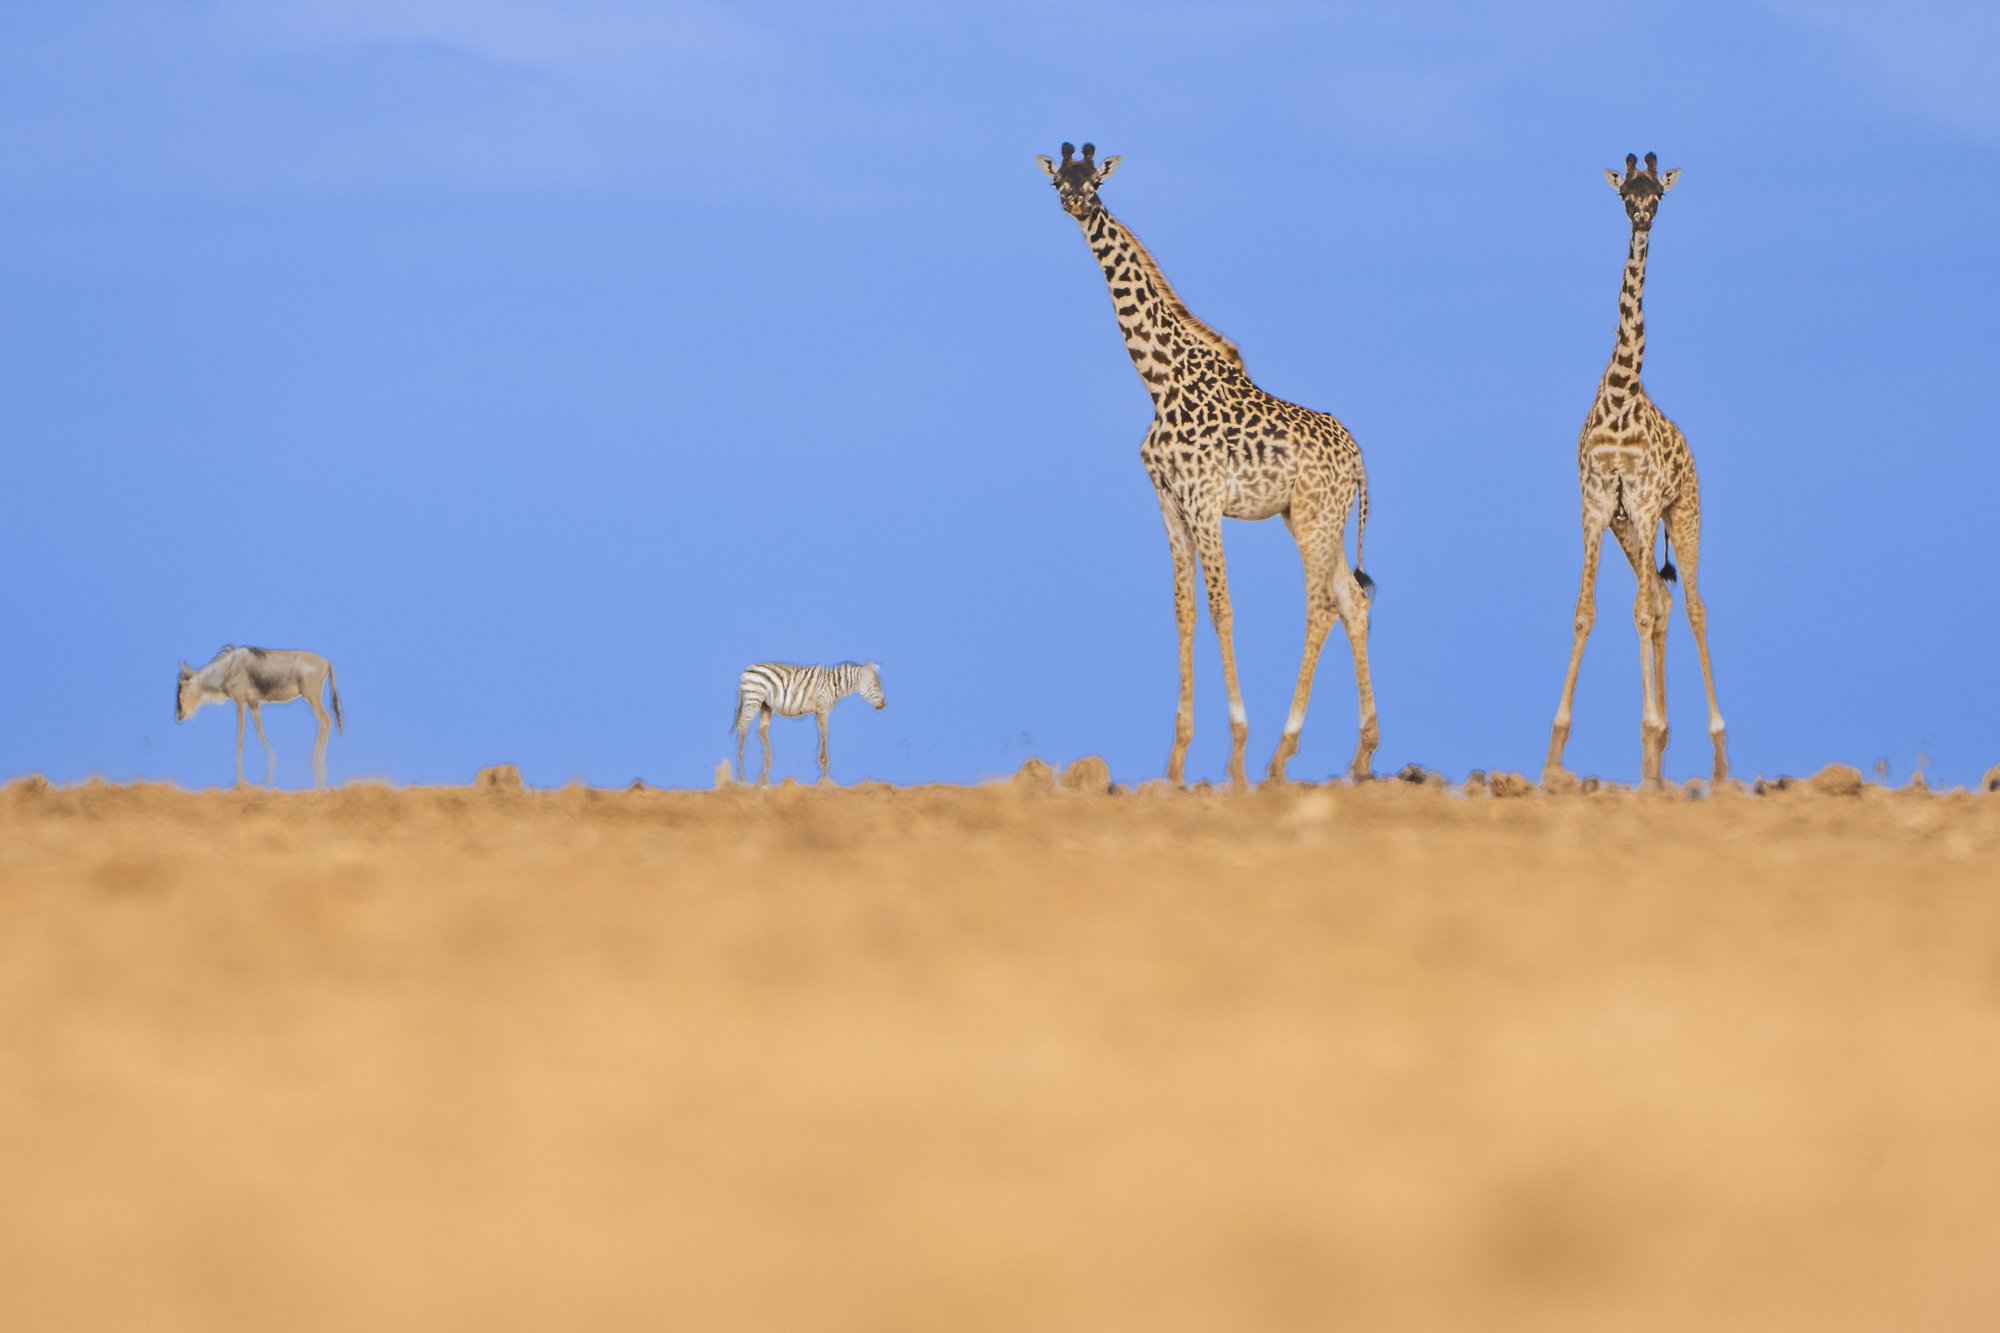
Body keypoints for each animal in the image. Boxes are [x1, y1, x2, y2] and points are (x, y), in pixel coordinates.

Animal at [175, 646, 344, 789]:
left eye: (181, 687)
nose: (179, 715)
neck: (228, 668)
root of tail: (326, 662)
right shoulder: (253, 704)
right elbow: (260, 734)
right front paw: (267, 779)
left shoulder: (240, 702)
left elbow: (240, 738)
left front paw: (240, 782)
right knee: (325, 723)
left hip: (312, 697)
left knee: (325, 722)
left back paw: (318, 776)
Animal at [731, 661, 885, 786]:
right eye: (876, 685)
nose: (884, 705)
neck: (835, 685)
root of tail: (747, 669)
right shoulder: (822, 709)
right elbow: (824, 735)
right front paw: (824, 774)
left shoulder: (818, 711)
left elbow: (822, 736)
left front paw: (823, 768)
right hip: (753, 698)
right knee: (743, 726)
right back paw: (741, 775)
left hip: (765, 705)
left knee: (760, 731)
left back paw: (765, 772)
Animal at [1037, 142, 1378, 786]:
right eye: (1057, 181)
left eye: (1096, 180)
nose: (1076, 203)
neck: (1158, 381)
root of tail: (1360, 460)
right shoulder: (1169, 505)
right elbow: (1185, 611)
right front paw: (1175, 762)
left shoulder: (1205, 502)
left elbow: (1223, 608)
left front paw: (1235, 754)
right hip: (1312, 518)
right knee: (1353, 599)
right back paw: (1364, 756)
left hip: (1316, 518)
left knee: (1323, 604)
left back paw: (1278, 756)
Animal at [1544, 152, 1727, 789]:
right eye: (1627, 193)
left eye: (1659, 195)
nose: (1643, 219)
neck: (1623, 395)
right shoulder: (1598, 504)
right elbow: (1586, 612)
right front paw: (1554, 757)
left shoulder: (1646, 503)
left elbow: (1640, 613)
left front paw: (1647, 736)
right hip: (1631, 529)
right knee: (1666, 603)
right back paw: (1661, 754)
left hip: (1683, 513)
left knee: (1691, 606)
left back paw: (1717, 758)